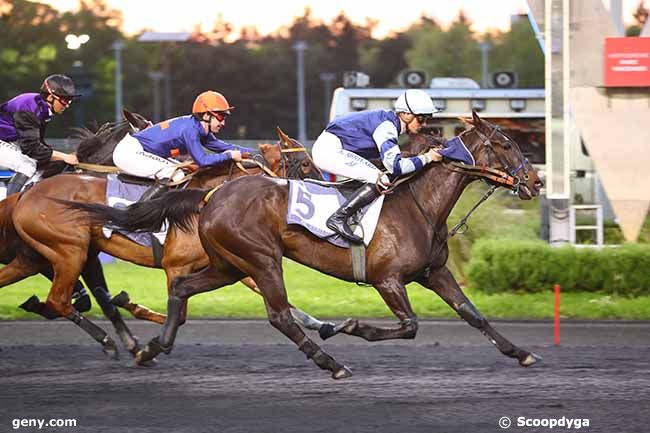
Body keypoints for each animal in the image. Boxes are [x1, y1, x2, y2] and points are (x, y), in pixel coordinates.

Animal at [0, 120, 318, 356]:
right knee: (59, 300)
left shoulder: (228, 260)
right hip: (69, 252)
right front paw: (138, 318)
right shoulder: (177, 265)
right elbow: (180, 313)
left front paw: (318, 323)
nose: (321, 187)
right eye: (304, 163)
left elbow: (256, 287)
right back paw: (108, 339)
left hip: (44, 257)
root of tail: (25, 195)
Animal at [91, 110, 540, 374]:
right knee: (279, 316)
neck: (420, 206)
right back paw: (330, 361)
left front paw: (521, 352)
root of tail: (210, 195)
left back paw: (151, 348)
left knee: (183, 289)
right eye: (505, 144)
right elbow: (410, 326)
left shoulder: (435, 272)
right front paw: (352, 326)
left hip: (229, 264)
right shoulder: (387, 280)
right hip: (261, 260)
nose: (535, 182)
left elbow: (473, 314)